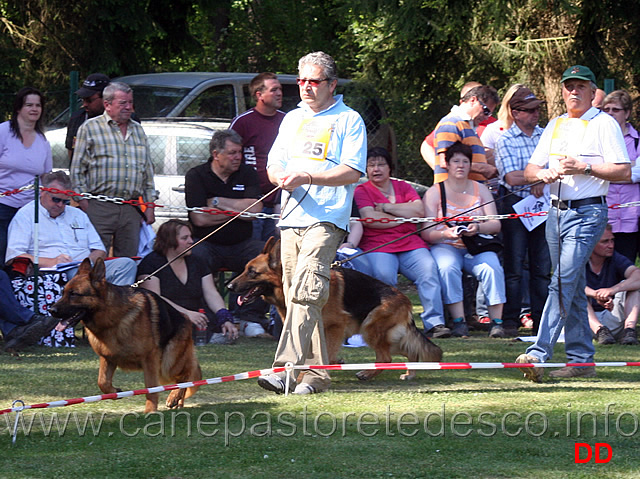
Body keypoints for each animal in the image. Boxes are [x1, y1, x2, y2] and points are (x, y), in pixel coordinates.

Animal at [49, 258, 200, 412]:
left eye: (74, 294)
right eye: (63, 292)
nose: (51, 310)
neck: (114, 317)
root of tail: (186, 318)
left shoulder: (150, 359)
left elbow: (151, 388)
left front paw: (150, 411)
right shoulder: (108, 358)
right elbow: (102, 382)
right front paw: (115, 391)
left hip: (167, 363)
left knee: (187, 373)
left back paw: (174, 396)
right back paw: (179, 402)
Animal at [228, 238, 442, 380]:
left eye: (252, 272)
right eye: (245, 269)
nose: (229, 286)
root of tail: (405, 299)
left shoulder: (335, 327)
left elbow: (327, 354)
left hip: (370, 329)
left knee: (386, 358)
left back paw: (367, 373)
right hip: (386, 335)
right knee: (409, 351)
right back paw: (409, 372)